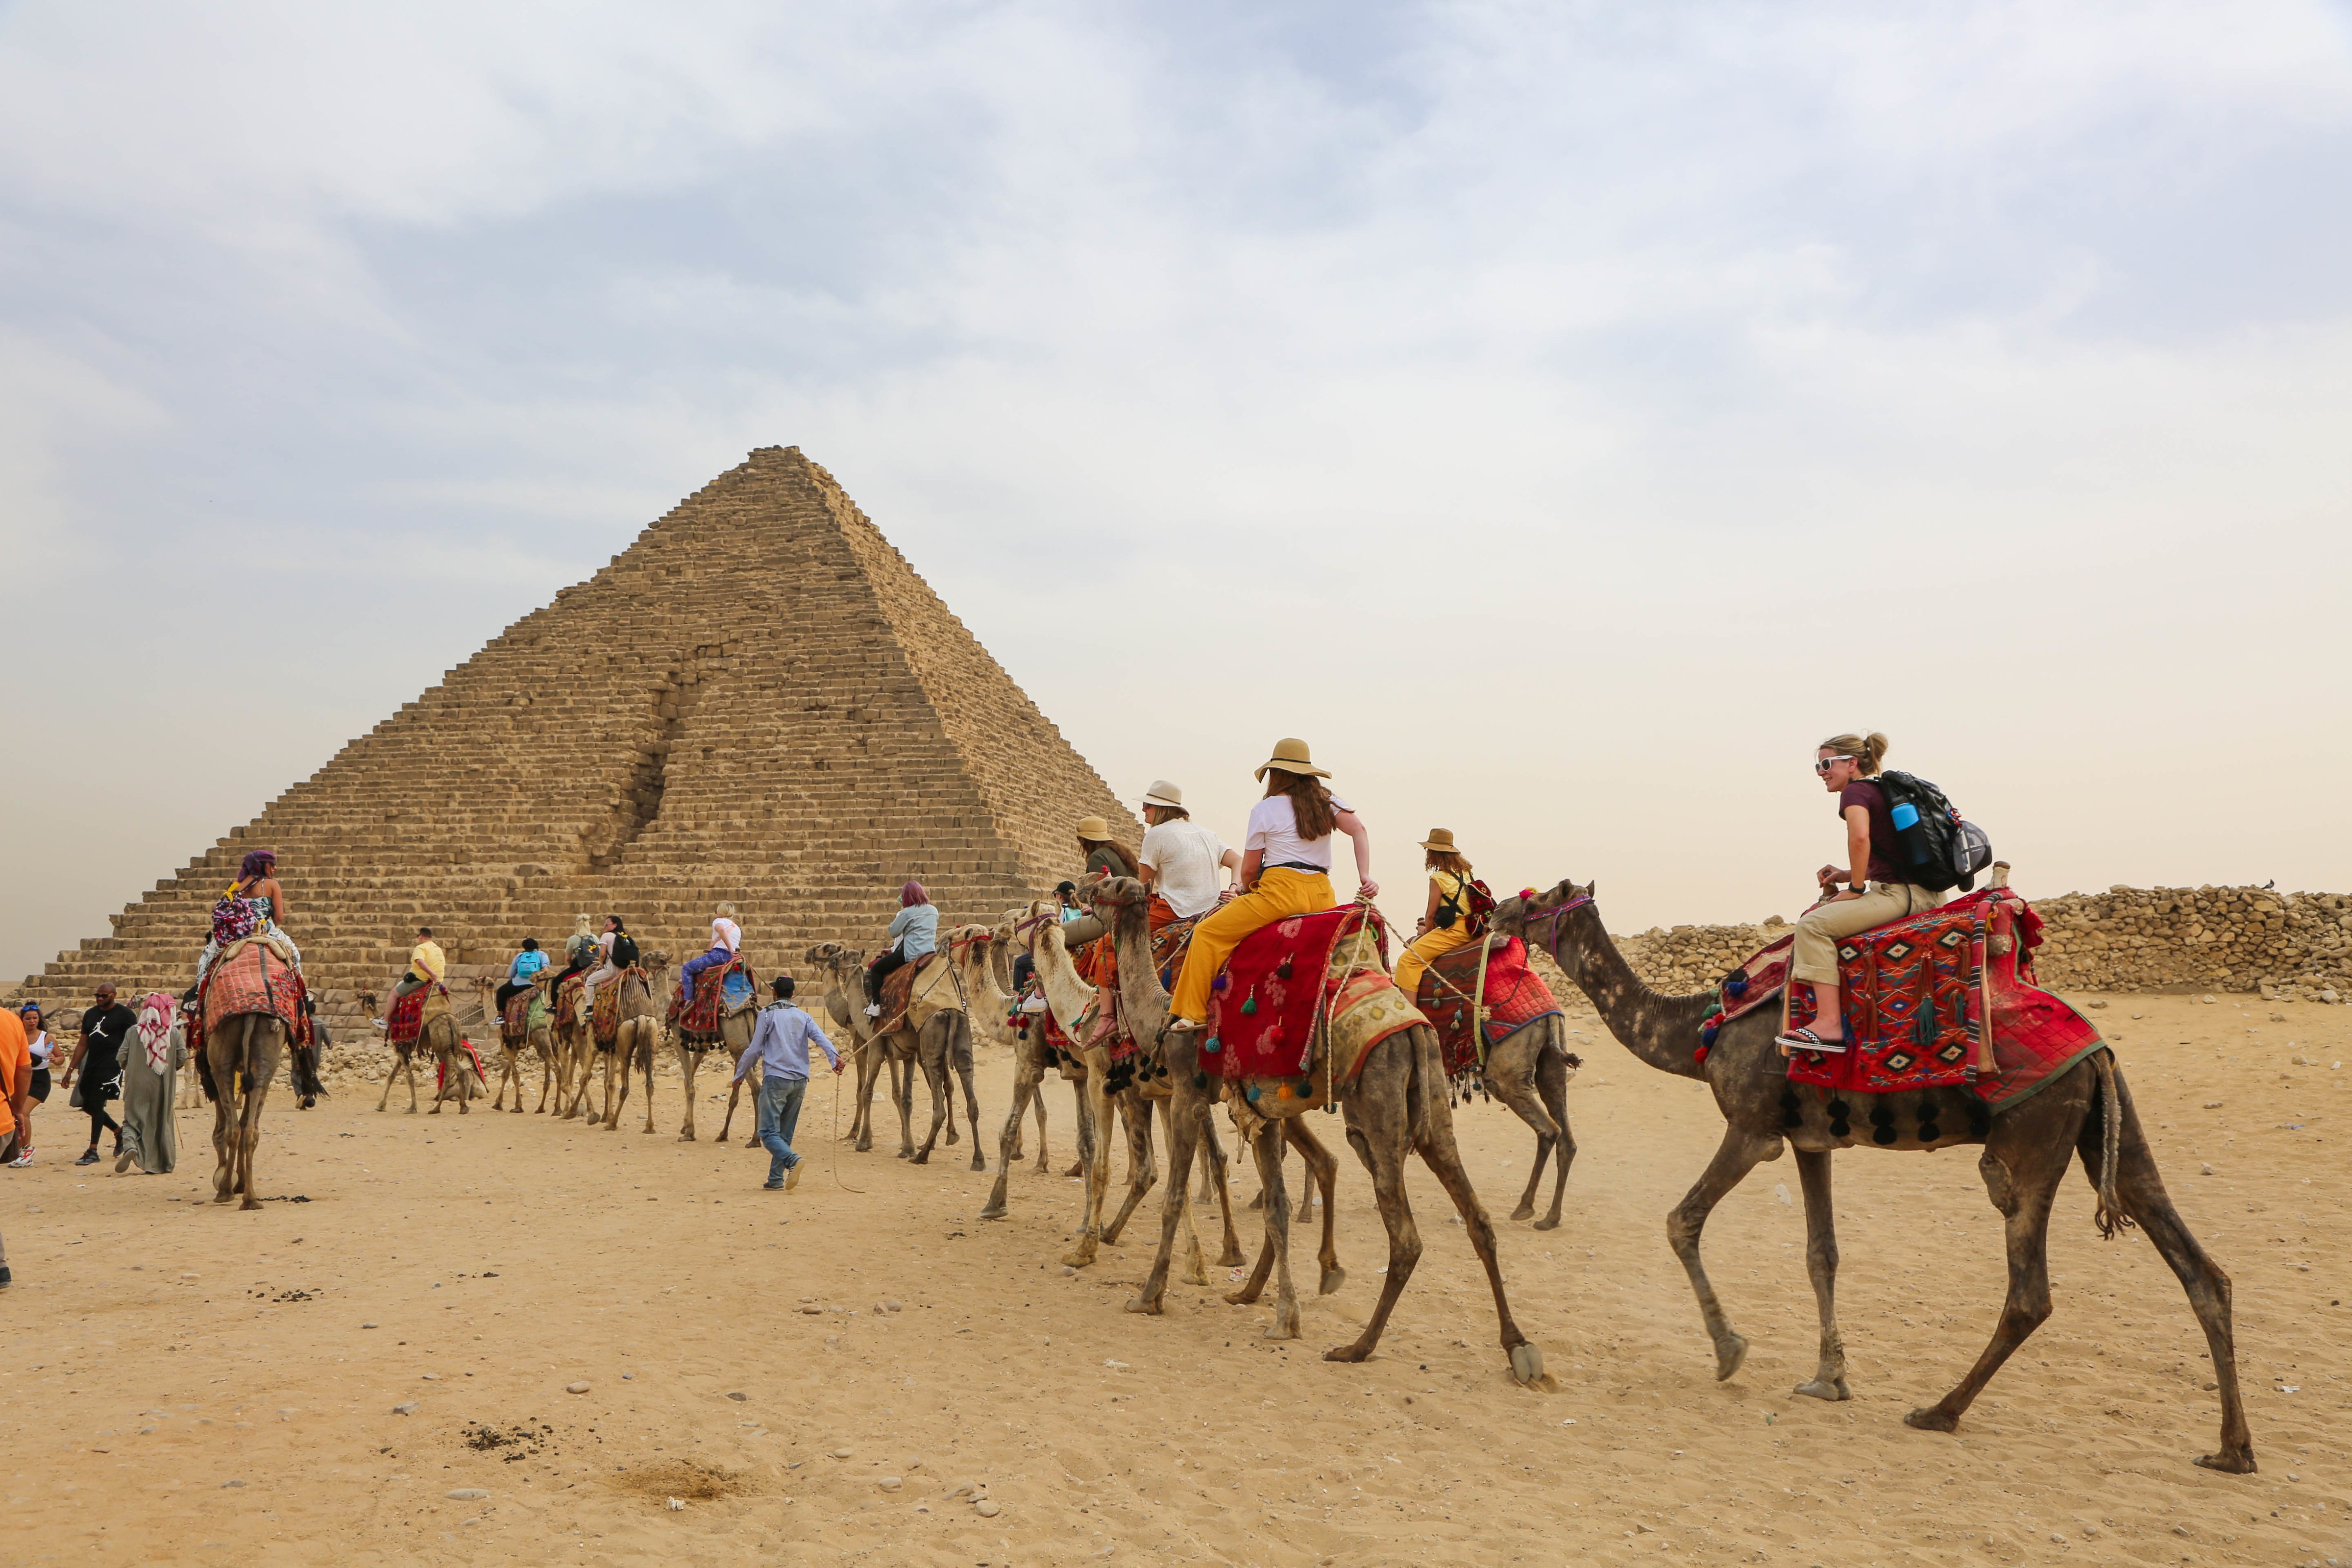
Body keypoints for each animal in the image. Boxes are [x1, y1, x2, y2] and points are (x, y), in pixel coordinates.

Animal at [1495, 870, 2248, 1476]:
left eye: (1539, 897)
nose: (1497, 911)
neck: (1700, 1030)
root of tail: (2095, 1052)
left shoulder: (1754, 1129)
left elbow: (1683, 1221)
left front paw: (1730, 1350)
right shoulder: (1810, 1140)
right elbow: (1821, 1254)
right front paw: (1828, 1377)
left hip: (2031, 1137)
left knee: (2030, 1292)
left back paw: (1939, 1411)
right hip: (2108, 1125)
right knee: (2200, 1269)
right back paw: (2232, 1449)